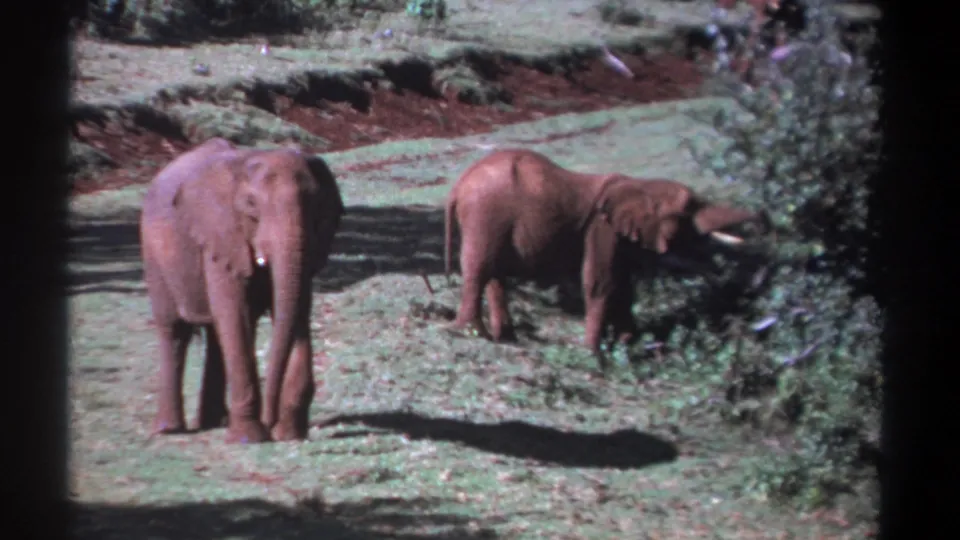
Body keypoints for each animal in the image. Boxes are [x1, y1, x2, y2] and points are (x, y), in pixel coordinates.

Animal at [139, 138, 345, 444]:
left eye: (316, 203)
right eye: (251, 205)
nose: (271, 422)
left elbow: (296, 310)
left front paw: (289, 434)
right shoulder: (220, 235)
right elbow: (234, 313)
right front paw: (250, 438)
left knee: (215, 333)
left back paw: (214, 422)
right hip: (154, 256)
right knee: (174, 330)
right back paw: (169, 429)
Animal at [442, 148, 770, 360]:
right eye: (688, 210)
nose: (765, 218)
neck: (639, 185)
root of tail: (459, 184)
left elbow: (624, 287)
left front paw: (628, 346)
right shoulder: (603, 229)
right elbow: (602, 282)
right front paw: (593, 353)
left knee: (493, 274)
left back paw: (504, 337)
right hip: (486, 213)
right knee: (479, 269)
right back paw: (469, 333)